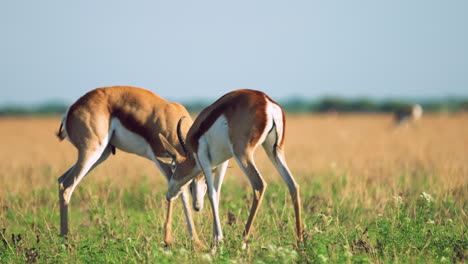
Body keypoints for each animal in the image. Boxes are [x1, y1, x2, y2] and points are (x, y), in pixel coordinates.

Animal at [56, 85, 205, 246]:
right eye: (192, 183)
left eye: (205, 180)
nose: (198, 207)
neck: (169, 116)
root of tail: (70, 111)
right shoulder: (160, 159)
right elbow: (177, 191)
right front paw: (169, 240)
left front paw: (197, 242)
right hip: (91, 151)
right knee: (67, 186)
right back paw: (65, 242)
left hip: (103, 154)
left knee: (61, 179)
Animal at [158, 89, 304, 249]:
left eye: (174, 167)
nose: (168, 195)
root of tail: (267, 102)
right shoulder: (222, 162)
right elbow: (217, 193)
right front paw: (215, 242)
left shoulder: (202, 157)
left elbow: (211, 194)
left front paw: (218, 242)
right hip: (274, 151)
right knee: (293, 185)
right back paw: (299, 241)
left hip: (243, 154)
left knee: (259, 185)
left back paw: (243, 241)